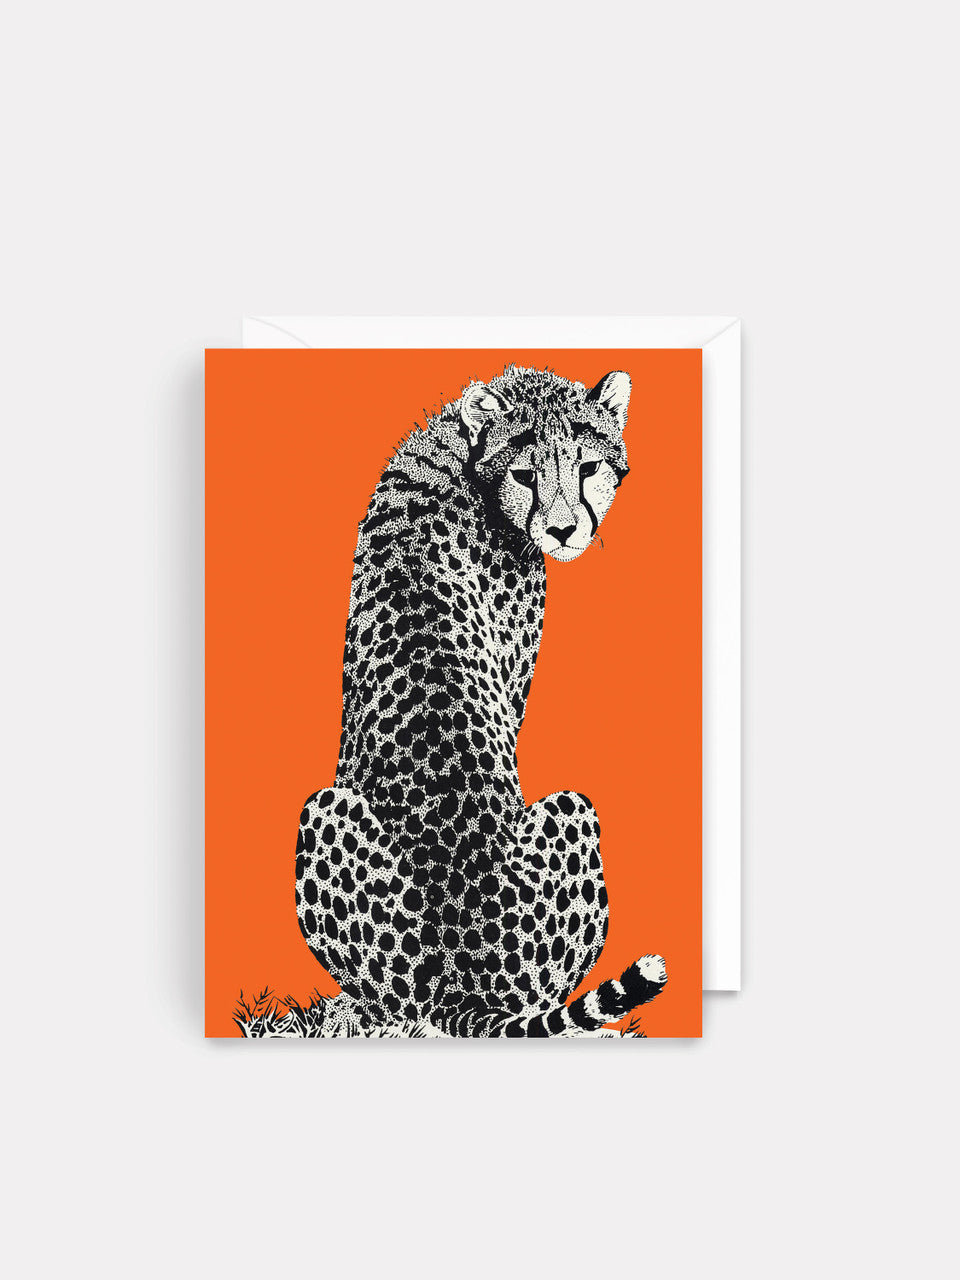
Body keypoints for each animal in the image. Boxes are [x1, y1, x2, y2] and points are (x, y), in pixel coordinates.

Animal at [294, 365, 667, 1036]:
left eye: (587, 468)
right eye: (525, 475)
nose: (563, 530)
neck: (459, 453)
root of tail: (462, 979)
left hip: (324, 809)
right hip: (572, 808)